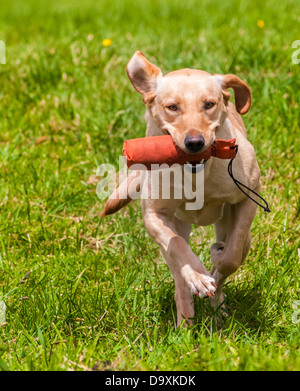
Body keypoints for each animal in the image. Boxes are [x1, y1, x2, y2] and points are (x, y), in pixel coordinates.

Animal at [102, 52, 262, 328]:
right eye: (172, 107)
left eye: (209, 104)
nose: (195, 142)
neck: (197, 178)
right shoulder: (154, 216)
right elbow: (176, 246)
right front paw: (197, 277)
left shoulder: (248, 196)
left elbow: (231, 254)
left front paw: (217, 260)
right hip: (176, 226)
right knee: (178, 268)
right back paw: (186, 319)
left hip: (234, 229)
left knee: (232, 255)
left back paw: (217, 304)